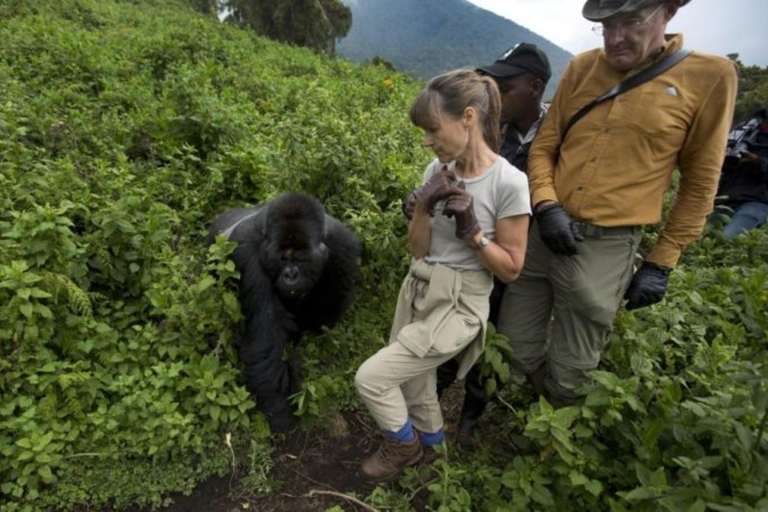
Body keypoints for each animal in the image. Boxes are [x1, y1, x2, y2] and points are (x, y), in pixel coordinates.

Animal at [207, 192, 364, 432]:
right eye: (282, 259)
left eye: (300, 258)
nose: (290, 275)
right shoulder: (247, 254)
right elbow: (267, 336)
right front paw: (280, 408)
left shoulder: (342, 246)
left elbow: (325, 313)